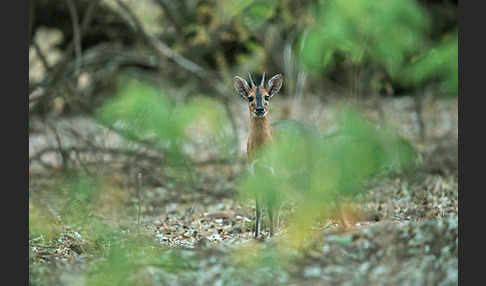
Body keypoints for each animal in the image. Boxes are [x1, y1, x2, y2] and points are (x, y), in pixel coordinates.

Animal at [234, 72, 318, 237]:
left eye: (267, 96)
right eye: (250, 98)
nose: (260, 109)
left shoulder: (275, 170)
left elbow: (271, 206)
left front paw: (271, 235)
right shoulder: (254, 169)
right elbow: (259, 208)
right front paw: (257, 235)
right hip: (297, 175)